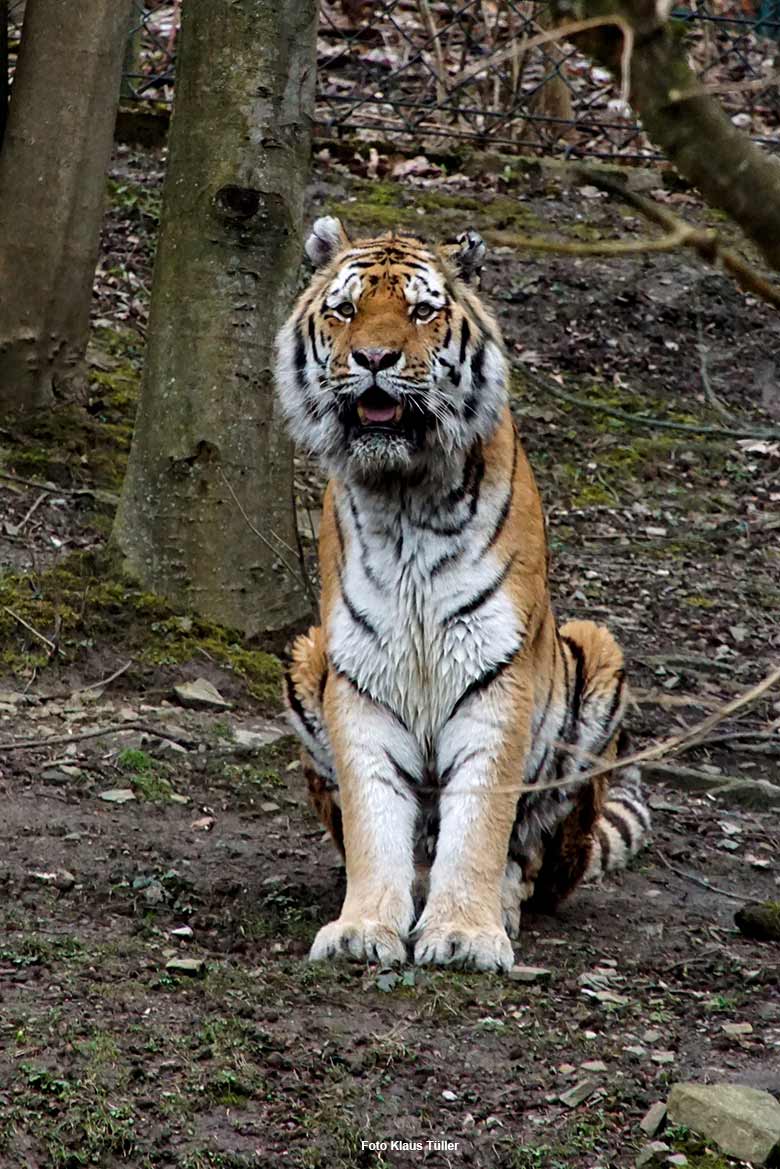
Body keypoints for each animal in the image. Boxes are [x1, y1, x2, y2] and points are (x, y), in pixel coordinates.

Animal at [274, 215, 654, 972]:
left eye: (422, 311)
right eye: (345, 309)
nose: (374, 357)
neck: (403, 498)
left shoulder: (495, 674)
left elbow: (480, 820)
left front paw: (464, 933)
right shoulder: (359, 674)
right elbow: (373, 818)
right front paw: (363, 926)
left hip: (595, 653)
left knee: (537, 861)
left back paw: (503, 899)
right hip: (306, 657)